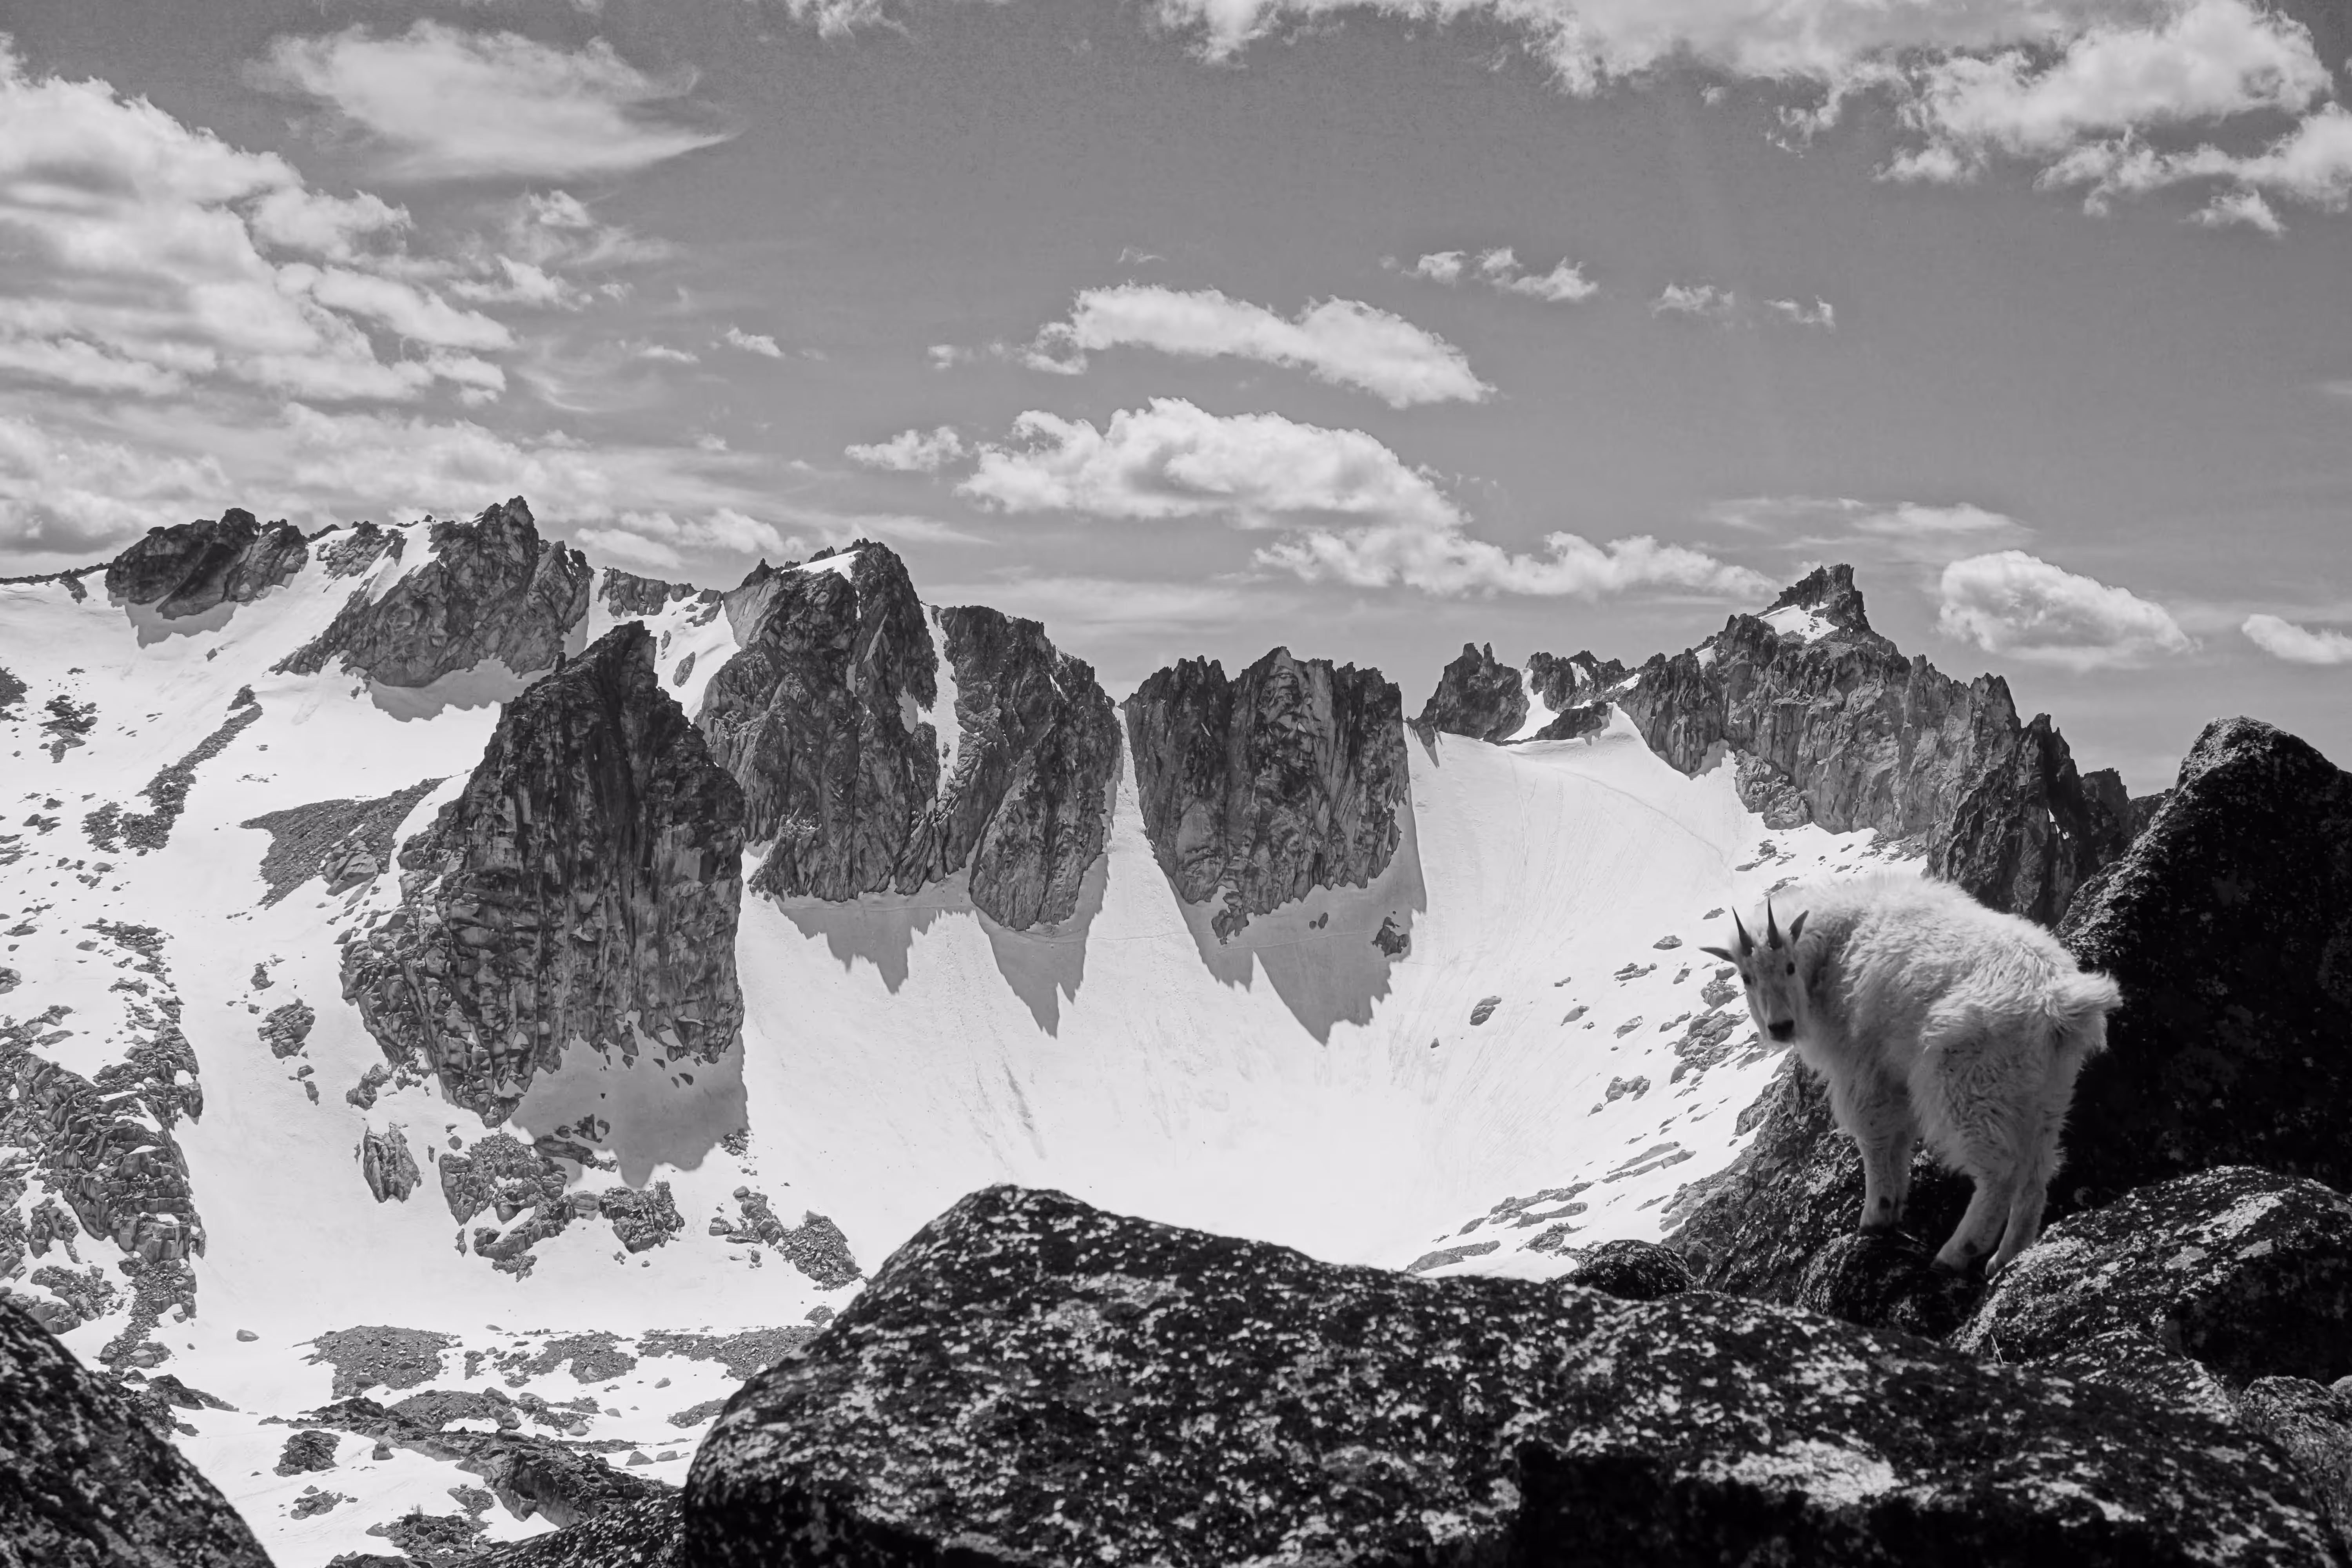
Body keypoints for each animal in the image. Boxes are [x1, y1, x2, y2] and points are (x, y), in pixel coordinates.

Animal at [1701, 873, 2120, 1277]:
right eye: (1746, 977)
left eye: (1789, 966)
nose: (1781, 1027)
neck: (1835, 946)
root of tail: (2056, 1003)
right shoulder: (1891, 1075)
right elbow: (1898, 1138)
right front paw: (1895, 1204)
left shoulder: (1860, 1068)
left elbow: (1873, 1136)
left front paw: (1876, 1214)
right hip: (2045, 1096)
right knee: (2036, 1175)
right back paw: (2006, 1258)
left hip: (1968, 1087)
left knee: (2000, 1173)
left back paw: (1957, 1252)